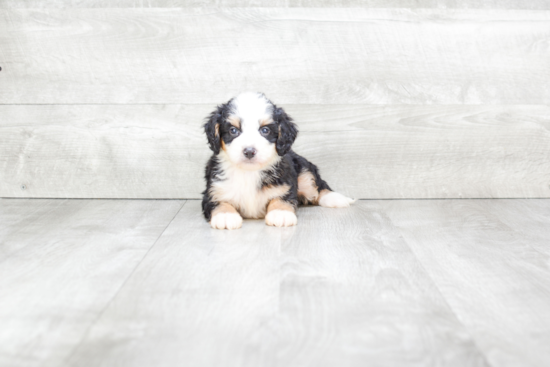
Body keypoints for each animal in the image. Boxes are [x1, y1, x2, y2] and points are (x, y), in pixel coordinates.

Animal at [202, 92, 354, 230]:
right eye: (233, 130)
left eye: (265, 130)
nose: (249, 151)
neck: (249, 172)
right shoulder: (213, 191)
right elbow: (219, 202)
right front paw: (225, 215)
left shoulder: (285, 184)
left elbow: (281, 197)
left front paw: (281, 213)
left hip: (304, 171)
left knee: (317, 186)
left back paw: (335, 198)